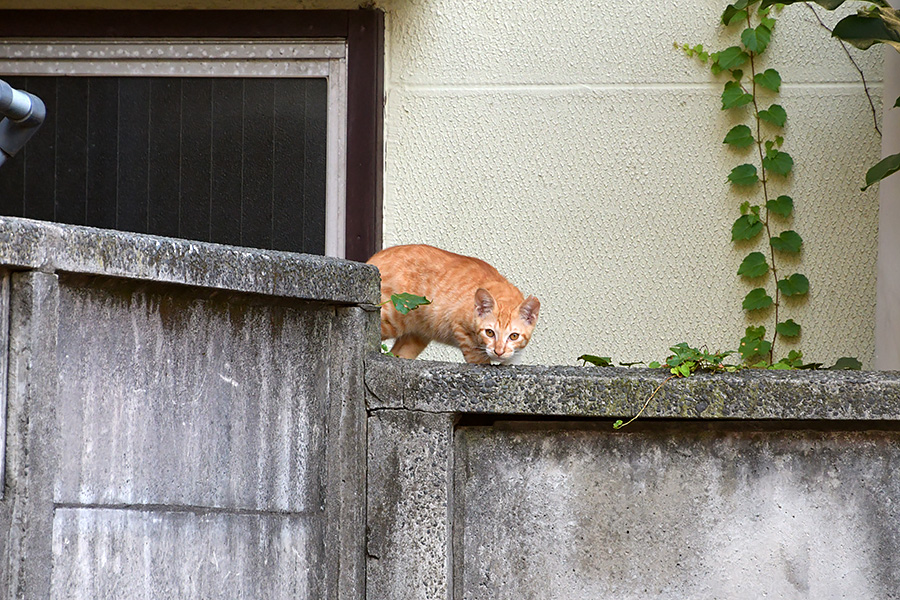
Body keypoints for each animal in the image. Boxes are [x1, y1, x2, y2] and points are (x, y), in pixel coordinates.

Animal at [368, 245, 540, 366]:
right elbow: (478, 359)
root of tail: (373, 260)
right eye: (489, 333)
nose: (499, 351)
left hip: (415, 337)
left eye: (514, 336)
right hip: (391, 317)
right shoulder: (460, 327)